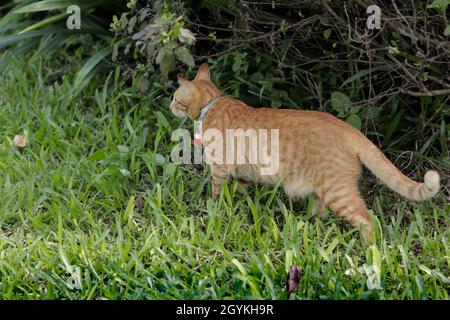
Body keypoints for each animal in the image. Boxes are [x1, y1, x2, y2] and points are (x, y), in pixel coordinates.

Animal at [170, 63, 440, 241]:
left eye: (174, 98)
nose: (170, 105)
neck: (210, 106)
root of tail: (348, 127)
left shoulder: (220, 170)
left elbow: (215, 196)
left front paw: (214, 210)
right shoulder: (242, 174)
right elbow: (239, 194)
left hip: (337, 192)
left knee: (368, 221)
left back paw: (370, 251)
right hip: (322, 191)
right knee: (320, 216)